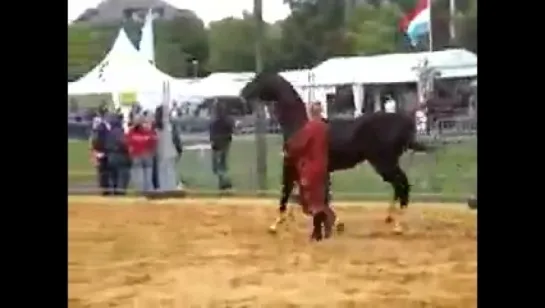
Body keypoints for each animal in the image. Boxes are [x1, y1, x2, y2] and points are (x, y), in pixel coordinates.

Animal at [239, 71, 434, 232]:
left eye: (258, 79)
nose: (242, 94)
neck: (300, 127)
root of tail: (404, 122)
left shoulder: (291, 166)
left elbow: (286, 194)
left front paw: (276, 224)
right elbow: (318, 195)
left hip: (384, 163)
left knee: (402, 185)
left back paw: (398, 224)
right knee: (399, 187)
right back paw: (390, 218)